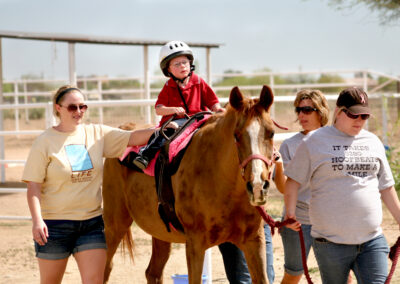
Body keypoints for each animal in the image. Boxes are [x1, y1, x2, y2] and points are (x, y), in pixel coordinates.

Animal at [103, 85, 278, 282]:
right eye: (237, 135)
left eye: (271, 133)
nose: (257, 186)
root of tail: (121, 131)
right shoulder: (195, 244)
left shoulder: (254, 240)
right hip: (115, 224)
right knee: (106, 268)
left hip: (160, 233)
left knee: (153, 273)